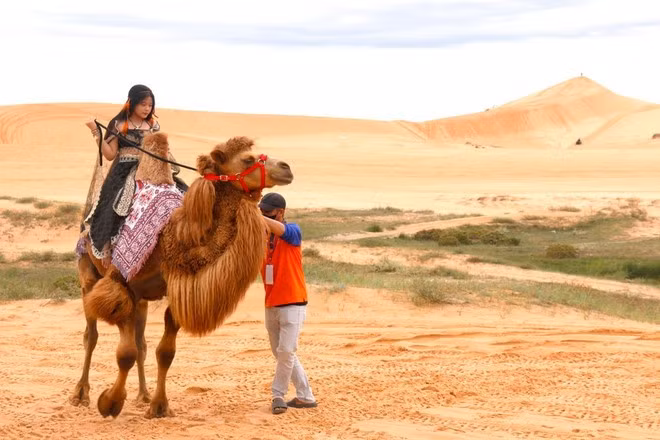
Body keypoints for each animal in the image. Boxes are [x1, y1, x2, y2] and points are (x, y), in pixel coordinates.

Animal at [70, 133, 293, 418]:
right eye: (247, 159)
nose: (287, 168)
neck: (170, 237)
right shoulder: (120, 284)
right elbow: (126, 353)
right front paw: (110, 403)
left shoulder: (169, 291)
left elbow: (164, 352)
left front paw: (158, 406)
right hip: (88, 273)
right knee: (92, 335)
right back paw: (80, 395)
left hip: (141, 300)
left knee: (141, 343)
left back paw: (142, 395)